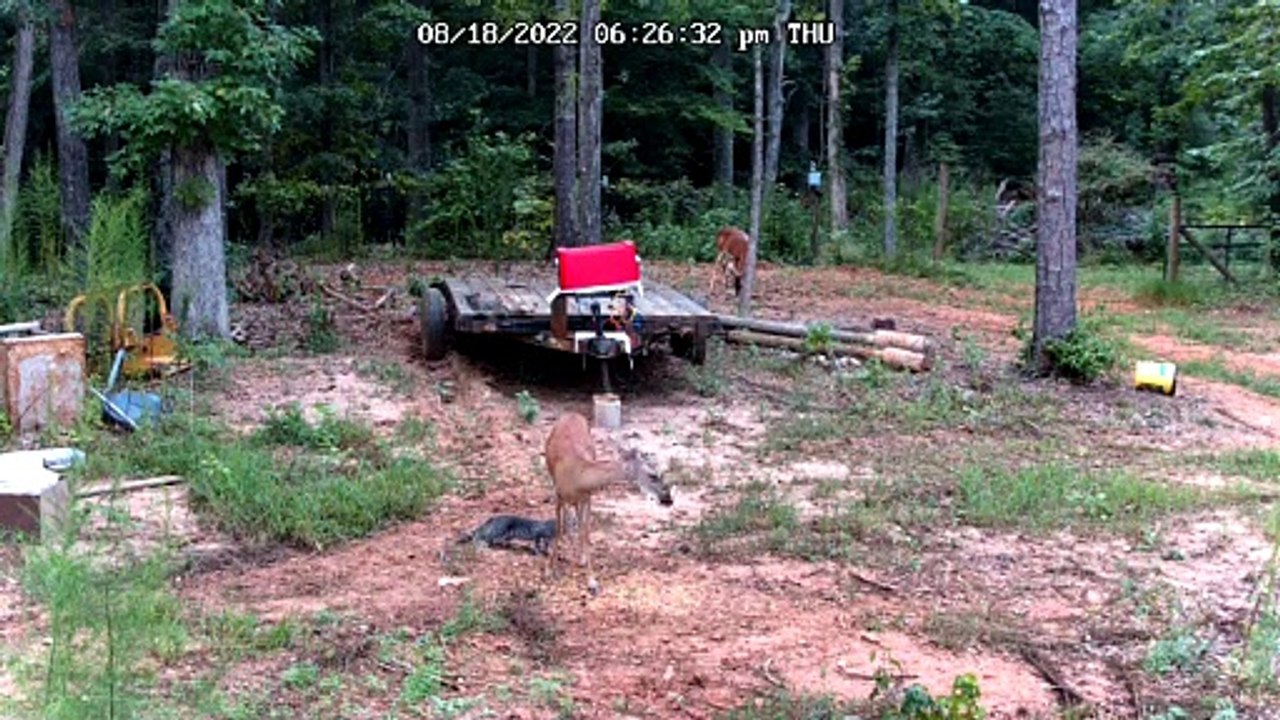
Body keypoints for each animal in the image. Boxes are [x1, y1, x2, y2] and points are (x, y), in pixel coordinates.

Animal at [544, 412, 672, 594]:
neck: (578, 476)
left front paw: (591, 580)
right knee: (568, 519)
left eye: (662, 472)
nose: (668, 499)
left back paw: (579, 555)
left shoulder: (587, 496)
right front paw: (549, 569)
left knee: (577, 519)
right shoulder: (558, 494)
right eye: (652, 475)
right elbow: (558, 528)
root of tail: (572, 414)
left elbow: (585, 531)